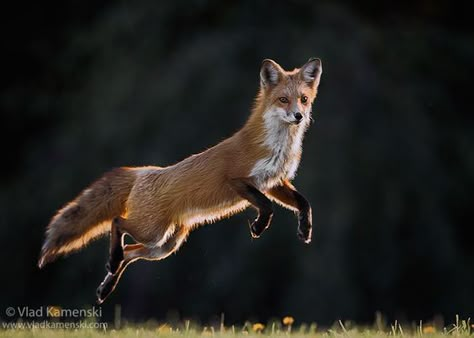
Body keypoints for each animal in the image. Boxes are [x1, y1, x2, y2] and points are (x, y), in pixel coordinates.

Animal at [39, 57, 324, 304]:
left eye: (303, 99)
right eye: (283, 100)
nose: (298, 115)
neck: (276, 147)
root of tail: (142, 172)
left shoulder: (274, 182)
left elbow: (304, 202)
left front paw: (305, 229)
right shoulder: (236, 180)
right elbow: (266, 206)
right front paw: (259, 226)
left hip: (163, 245)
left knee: (129, 252)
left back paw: (106, 285)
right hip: (152, 232)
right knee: (117, 223)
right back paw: (113, 260)